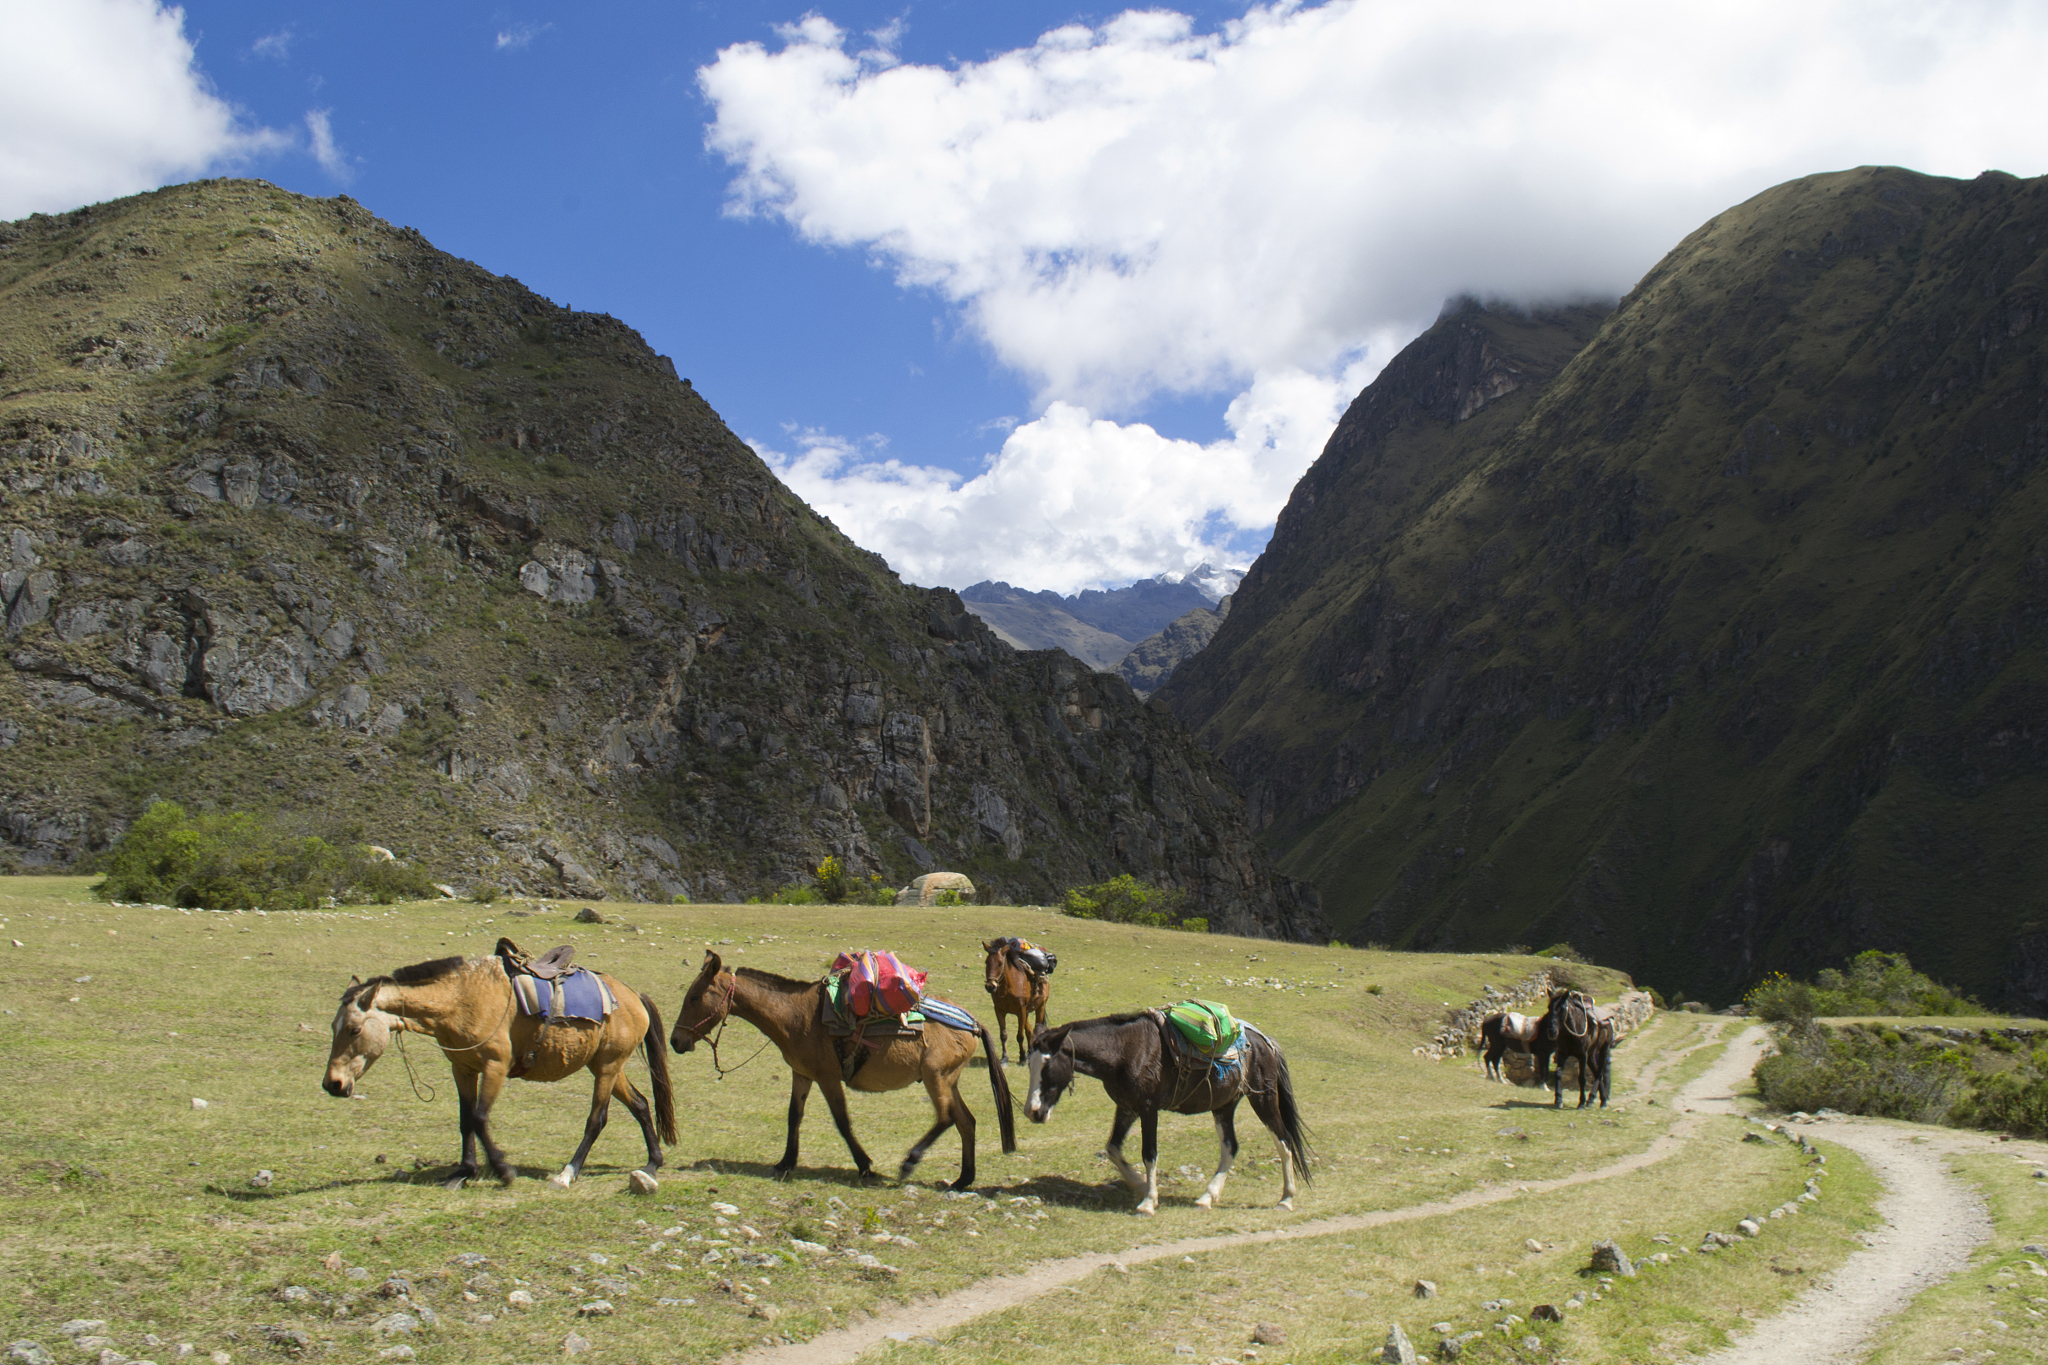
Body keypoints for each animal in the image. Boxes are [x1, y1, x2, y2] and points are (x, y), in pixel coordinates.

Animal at [322, 953, 677, 1190]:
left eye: (354, 1029)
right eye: (334, 1027)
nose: (332, 1084)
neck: (460, 998)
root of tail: (633, 996)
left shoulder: (495, 1066)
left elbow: (479, 1119)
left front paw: (503, 1170)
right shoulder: (463, 1068)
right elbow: (465, 1120)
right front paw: (463, 1172)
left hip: (606, 1068)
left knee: (597, 1119)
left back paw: (568, 1173)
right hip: (606, 1067)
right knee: (641, 1104)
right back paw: (652, 1163)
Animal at [669, 951, 1016, 1190]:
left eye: (695, 997)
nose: (675, 1041)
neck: (796, 1016)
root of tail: (972, 1023)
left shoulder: (827, 1078)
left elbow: (842, 1121)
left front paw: (865, 1165)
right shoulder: (802, 1075)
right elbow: (794, 1116)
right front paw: (785, 1162)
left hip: (935, 1077)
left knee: (946, 1118)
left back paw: (909, 1163)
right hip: (948, 1079)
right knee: (965, 1121)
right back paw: (963, 1179)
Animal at [1023, 1011, 1313, 1216]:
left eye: (1047, 1065)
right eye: (1029, 1064)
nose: (1032, 1112)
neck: (1125, 1051)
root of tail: (1265, 1042)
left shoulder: (1148, 1108)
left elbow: (1149, 1154)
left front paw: (1148, 1202)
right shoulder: (1127, 1107)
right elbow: (1113, 1148)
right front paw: (1141, 1186)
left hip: (1263, 1098)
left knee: (1284, 1141)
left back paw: (1286, 1198)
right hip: (1224, 1106)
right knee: (1230, 1147)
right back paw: (1206, 1198)